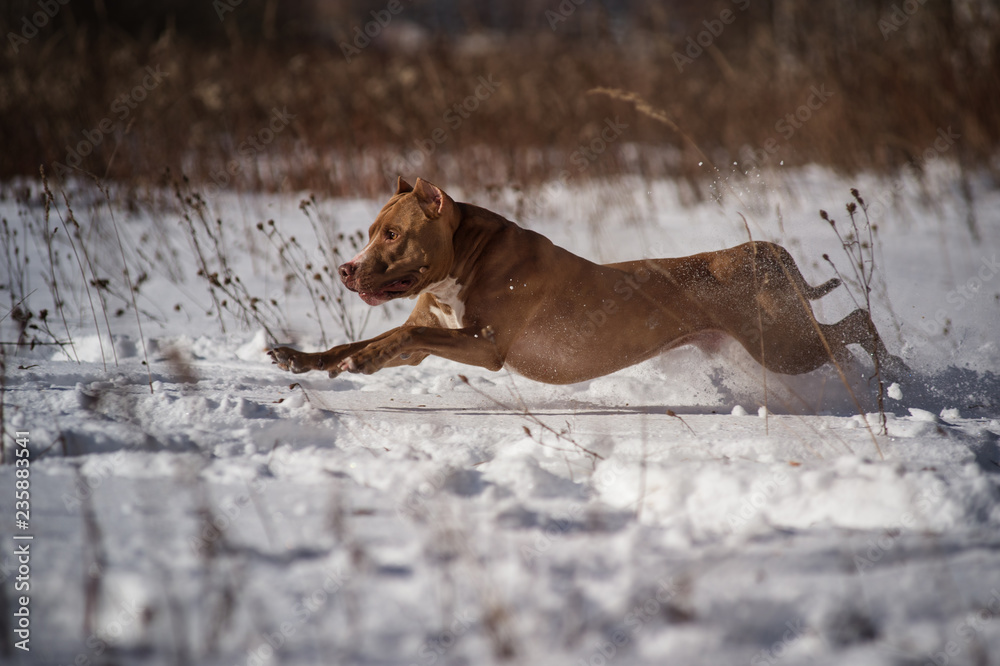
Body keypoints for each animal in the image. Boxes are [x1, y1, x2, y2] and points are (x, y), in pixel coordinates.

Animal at [266, 176, 908, 384]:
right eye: (372, 231)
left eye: (393, 235)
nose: (346, 268)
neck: (467, 257)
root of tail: (761, 250)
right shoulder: (436, 333)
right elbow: (367, 339)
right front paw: (303, 358)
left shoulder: (485, 345)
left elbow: (398, 336)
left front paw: (361, 361)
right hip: (779, 339)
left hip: (781, 344)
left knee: (856, 323)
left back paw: (895, 373)